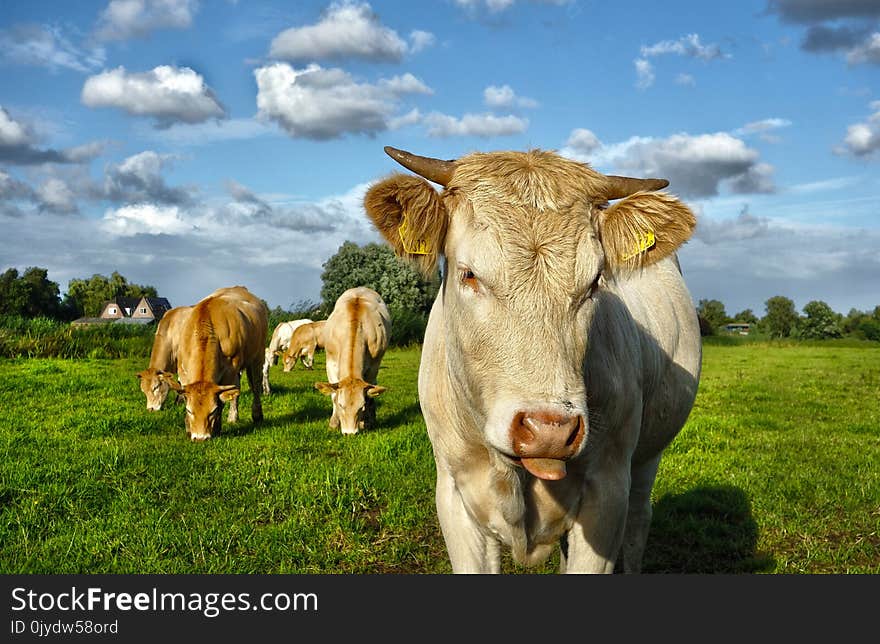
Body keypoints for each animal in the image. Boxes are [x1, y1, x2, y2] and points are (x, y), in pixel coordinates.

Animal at [163, 286, 268, 442]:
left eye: (212, 411)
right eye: (189, 410)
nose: (200, 438)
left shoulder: (230, 369)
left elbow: (222, 400)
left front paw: (217, 428)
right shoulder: (183, 369)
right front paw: (188, 427)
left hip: (257, 356)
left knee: (254, 385)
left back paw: (256, 414)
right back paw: (233, 417)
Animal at [312, 286, 388, 432]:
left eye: (361, 407)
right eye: (341, 405)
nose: (350, 433)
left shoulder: (373, 366)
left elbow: (369, 393)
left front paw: (366, 422)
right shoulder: (330, 363)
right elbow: (333, 393)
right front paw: (334, 422)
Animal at [362, 146, 700, 572]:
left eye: (594, 282)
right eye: (469, 274)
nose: (548, 430)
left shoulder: (608, 494)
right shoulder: (455, 495)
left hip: (646, 460)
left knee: (639, 524)